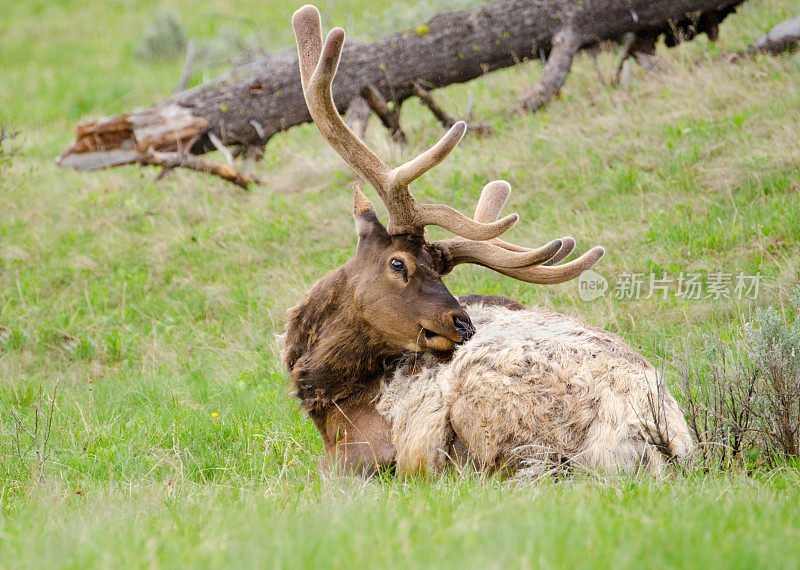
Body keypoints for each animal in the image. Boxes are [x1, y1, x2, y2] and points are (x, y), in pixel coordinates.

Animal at [282, 5, 692, 474]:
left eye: (436, 271)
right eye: (399, 262)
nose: (463, 323)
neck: (325, 391)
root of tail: (652, 433)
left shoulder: (359, 452)